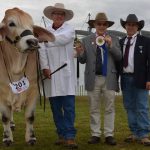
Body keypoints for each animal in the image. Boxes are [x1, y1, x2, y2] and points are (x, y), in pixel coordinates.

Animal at [0, 7, 54, 146]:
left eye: (31, 26)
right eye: (11, 24)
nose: (33, 41)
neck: (16, 68)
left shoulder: (34, 90)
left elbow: (30, 117)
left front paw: (31, 138)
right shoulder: (1, 93)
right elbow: (5, 117)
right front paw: (7, 138)